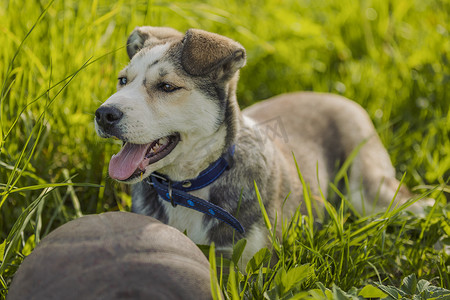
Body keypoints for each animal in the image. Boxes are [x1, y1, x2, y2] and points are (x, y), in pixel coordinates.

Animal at [94, 25, 428, 262]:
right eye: (122, 81)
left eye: (166, 87)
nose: (103, 114)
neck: (188, 189)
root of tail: (337, 95)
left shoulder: (251, 262)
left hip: (371, 192)